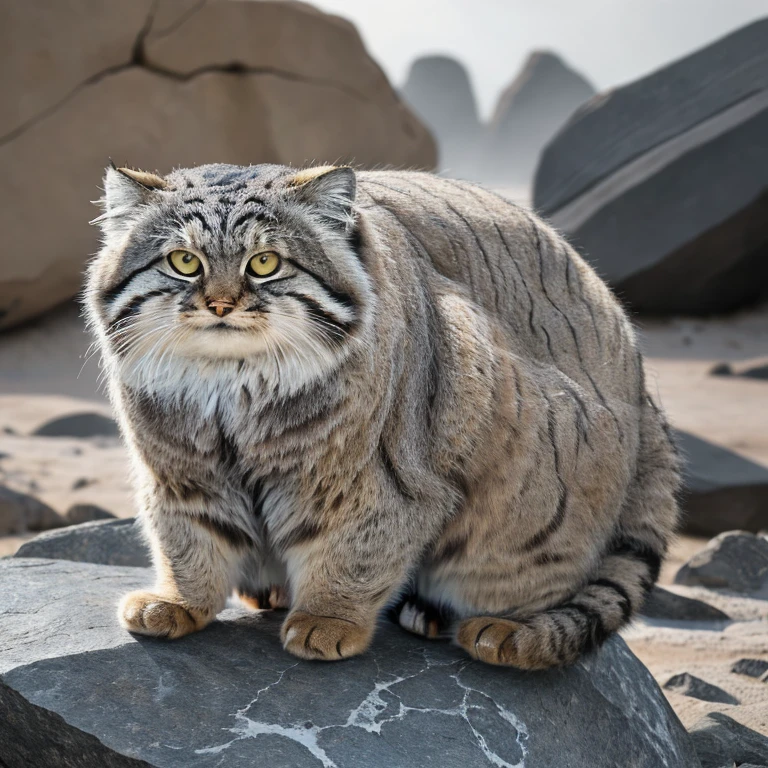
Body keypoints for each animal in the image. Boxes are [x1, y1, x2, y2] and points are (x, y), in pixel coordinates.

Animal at [85, 165, 680, 668]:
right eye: (185, 261)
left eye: (265, 263)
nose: (221, 306)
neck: (231, 389)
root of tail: (640, 380)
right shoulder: (178, 473)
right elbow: (186, 539)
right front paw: (178, 601)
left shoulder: (385, 483)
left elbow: (358, 550)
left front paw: (327, 618)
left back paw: (487, 622)